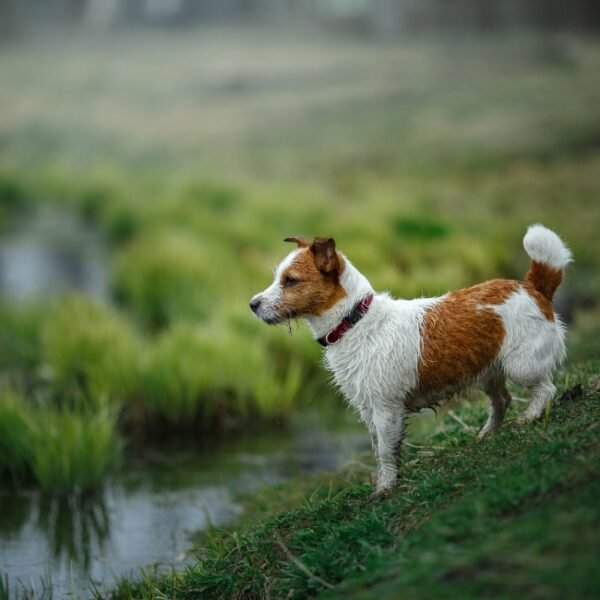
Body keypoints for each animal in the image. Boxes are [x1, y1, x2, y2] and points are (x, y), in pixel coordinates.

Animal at [248, 225, 572, 492]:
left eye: (291, 281)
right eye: (278, 278)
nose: (252, 304)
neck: (355, 321)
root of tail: (532, 286)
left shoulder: (386, 409)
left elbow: (386, 451)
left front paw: (386, 488)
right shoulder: (369, 410)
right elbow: (378, 449)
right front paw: (384, 482)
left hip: (522, 366)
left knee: (546, 389)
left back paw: (529, 416)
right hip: (487, 371)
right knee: (502, 399)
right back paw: (487, 433)